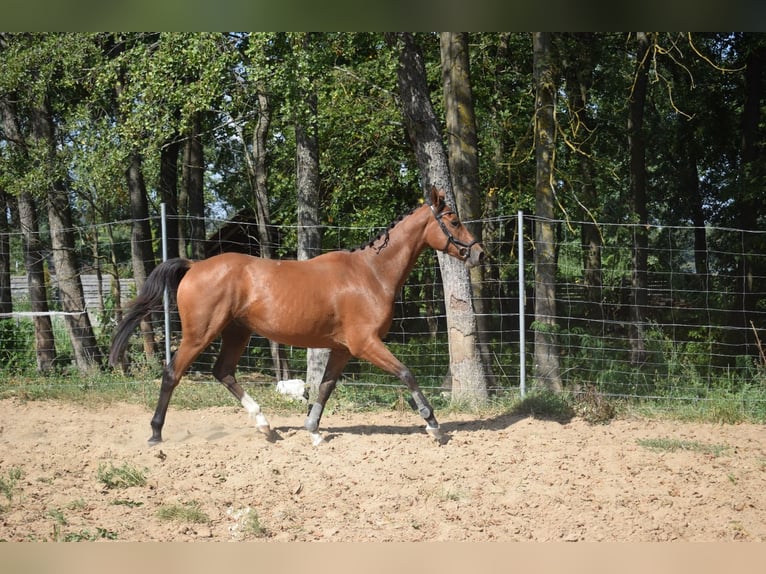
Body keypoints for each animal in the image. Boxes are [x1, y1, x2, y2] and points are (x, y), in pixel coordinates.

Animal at [109, 187, 486, 448]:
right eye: (454, 221)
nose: (480, 253)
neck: (371, 274)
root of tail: (195, 265)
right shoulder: (365, 344)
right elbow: (406, 373)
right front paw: (433, 425)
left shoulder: (344, 349)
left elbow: (325, 386)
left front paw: (314, 432)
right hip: (200, 334)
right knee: (173, 373)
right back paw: (156, 433)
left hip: (236, 333)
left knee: (223, 372)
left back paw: (265, 425)